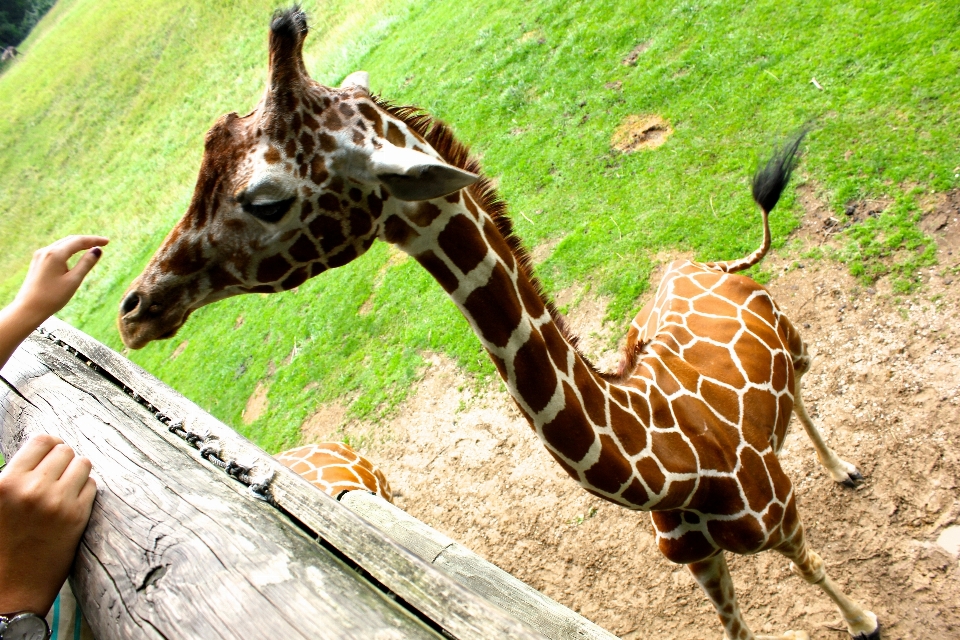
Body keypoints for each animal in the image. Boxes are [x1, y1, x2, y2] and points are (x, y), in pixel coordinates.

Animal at [118, 7, 876, 636]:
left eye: (267, 200)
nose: (134, 311)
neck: (674, 467)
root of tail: (709, 264)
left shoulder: (778, 515)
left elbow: (812, 566)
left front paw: (866, 620)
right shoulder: (694, 556)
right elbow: (735, 626)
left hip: (796, 342)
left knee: (802, 391)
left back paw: (844, 468)